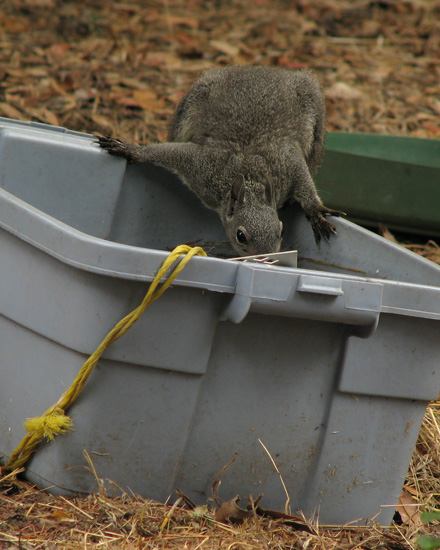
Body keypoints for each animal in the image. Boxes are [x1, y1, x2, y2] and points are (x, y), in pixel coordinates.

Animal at [97, 65, 344, 256]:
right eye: (240, 236)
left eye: (280, 230)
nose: (266, 258)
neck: (249, 175)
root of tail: (263, 69)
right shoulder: (201, 166)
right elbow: (166, 152)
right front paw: (132, 150)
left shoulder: (288, 161)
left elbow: (304, 182)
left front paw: (315, 211)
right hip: (191, 104)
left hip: (314, 115)